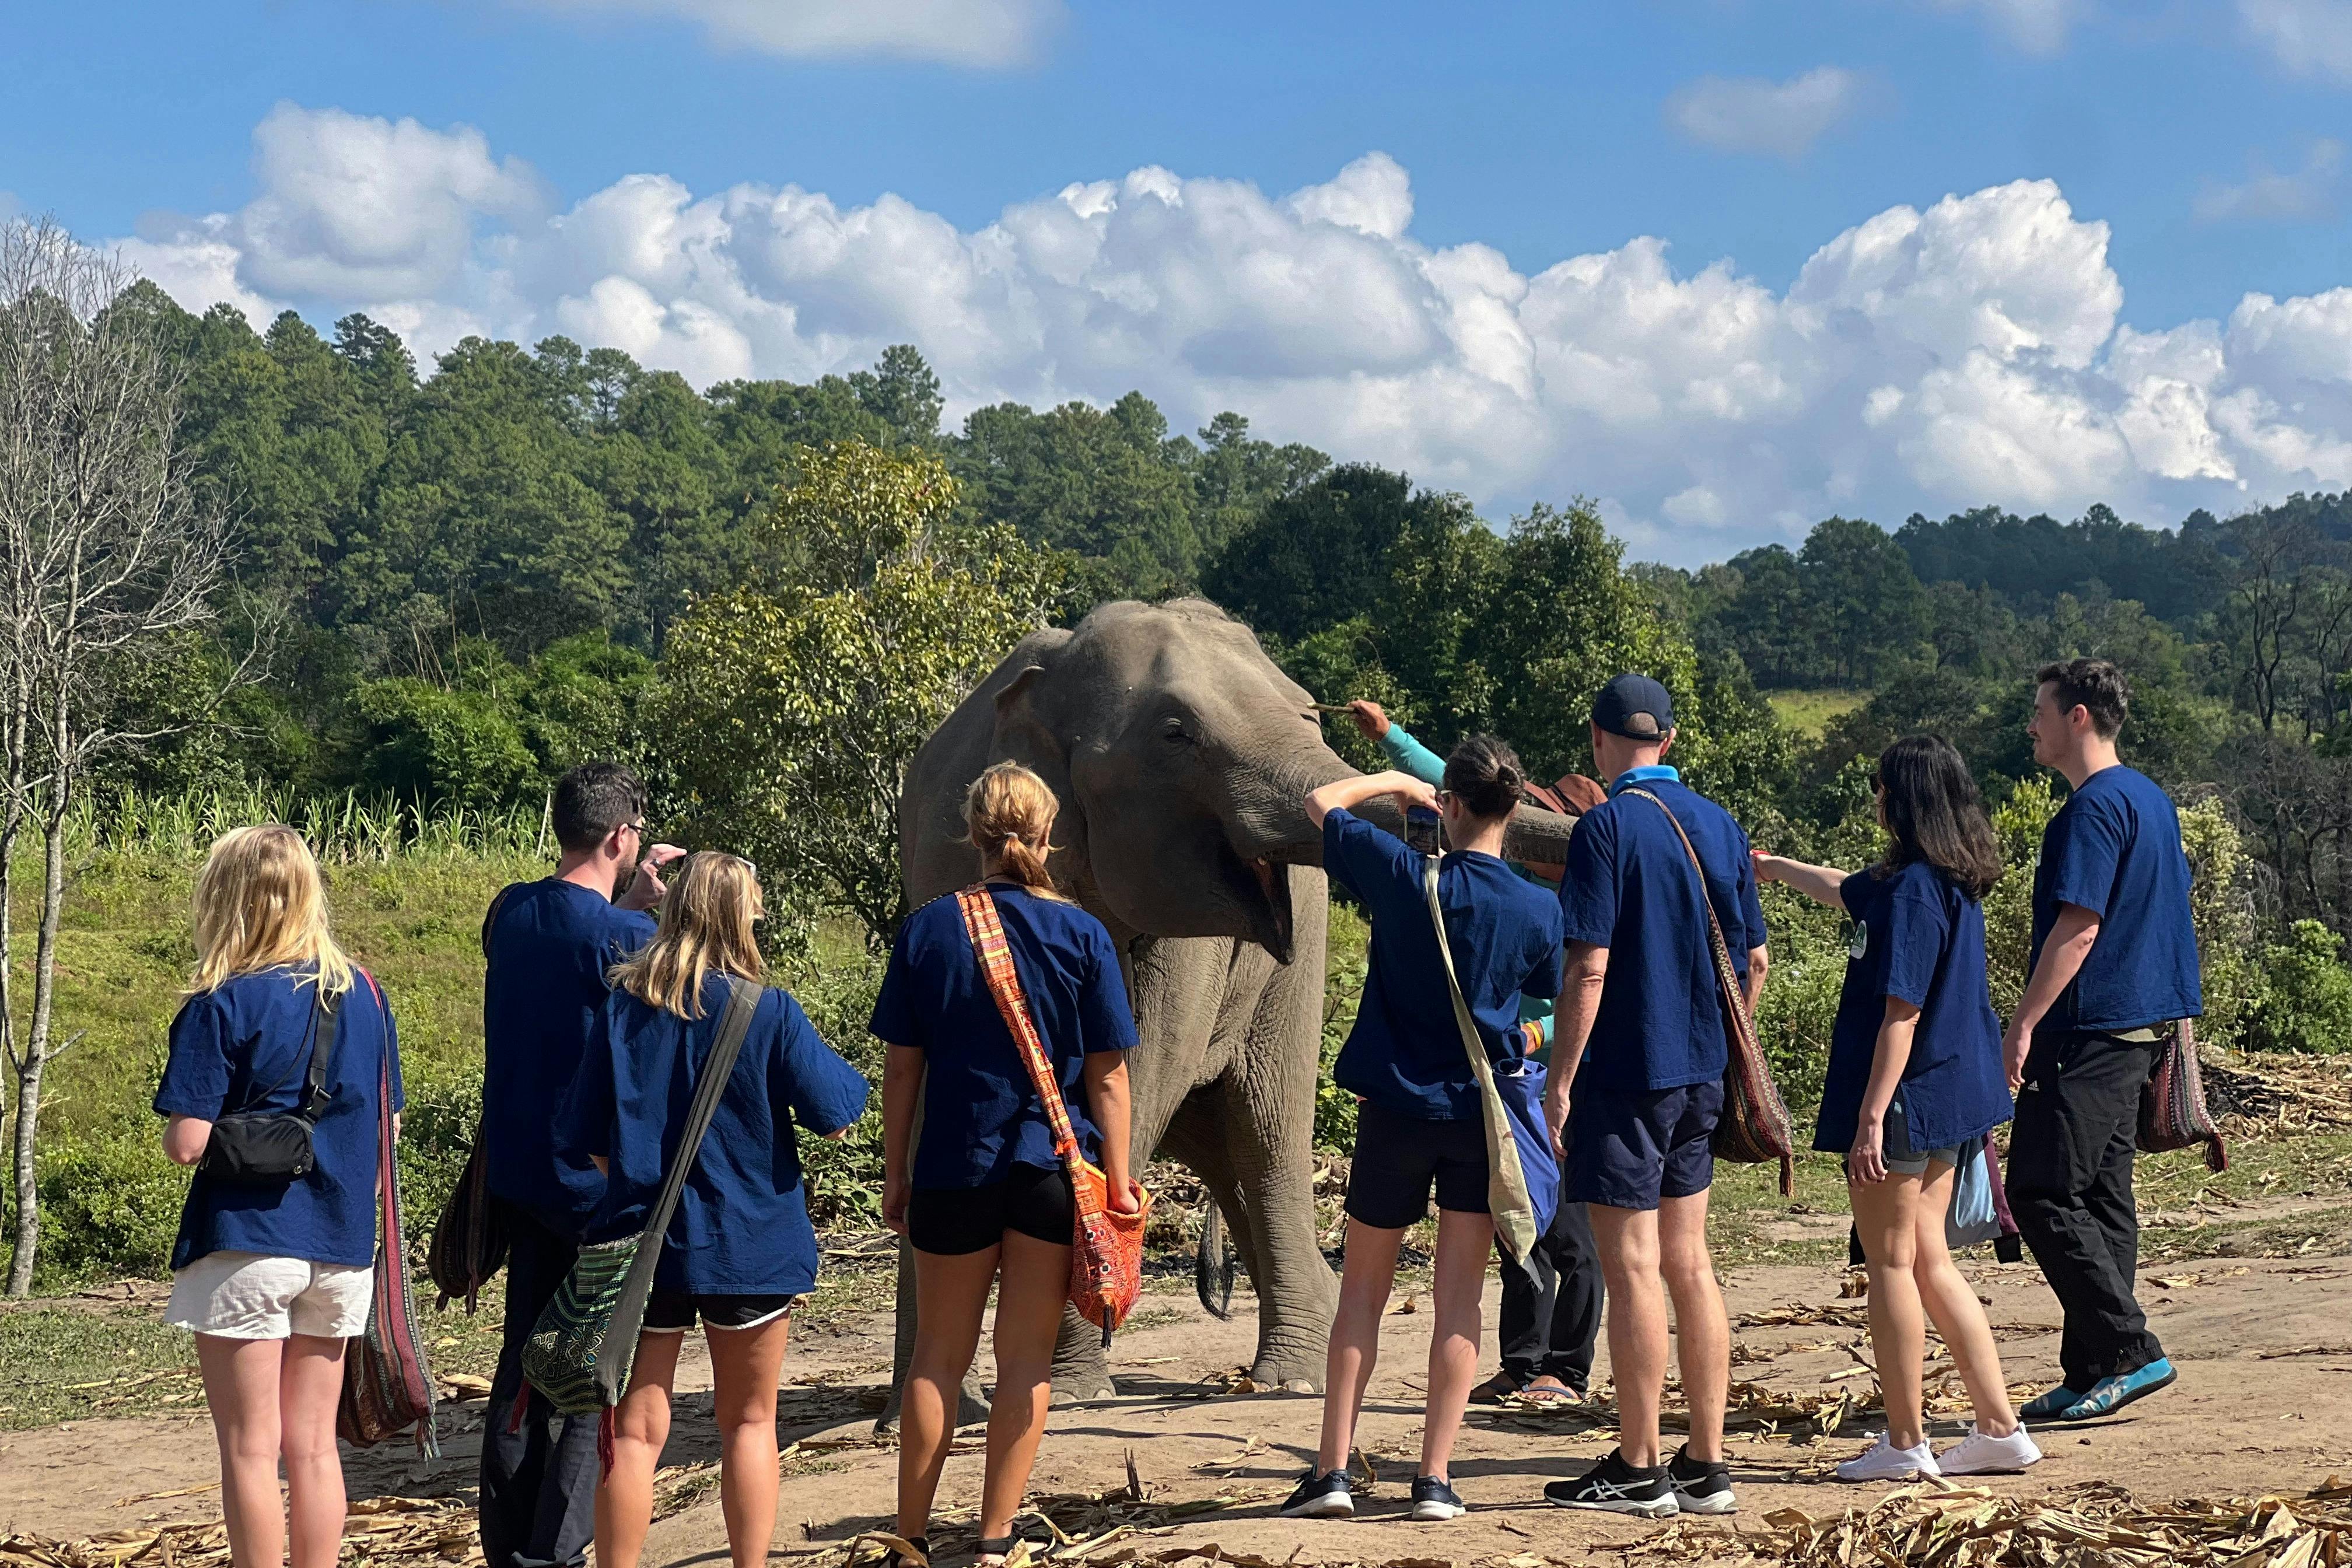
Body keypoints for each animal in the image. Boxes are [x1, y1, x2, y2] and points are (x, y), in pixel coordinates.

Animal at [888, 597, 1580, 1406]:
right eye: (1175, 735)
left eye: (1309, 715)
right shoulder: (945, 862)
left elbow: (1134, 1070)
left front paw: (1069, 1387)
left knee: (1265, 1128)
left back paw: (1295, 1376)